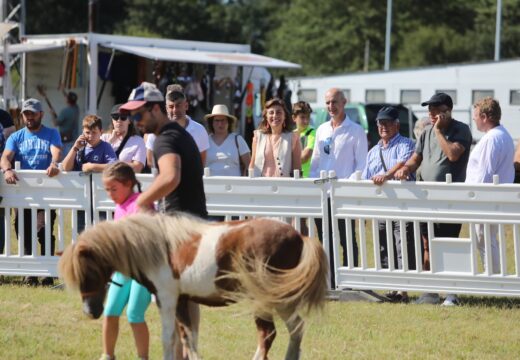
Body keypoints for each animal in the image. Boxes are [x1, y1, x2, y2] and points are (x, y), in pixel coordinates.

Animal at [59, 212, 328, 360]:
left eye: (88, 272)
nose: (90, 311)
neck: (159, 247)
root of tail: (299, 236)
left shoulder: (166, 299)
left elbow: (168, 338)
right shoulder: (182, 300)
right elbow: (187, 337)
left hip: (266, 300)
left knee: (272, 333)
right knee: (292, 330)